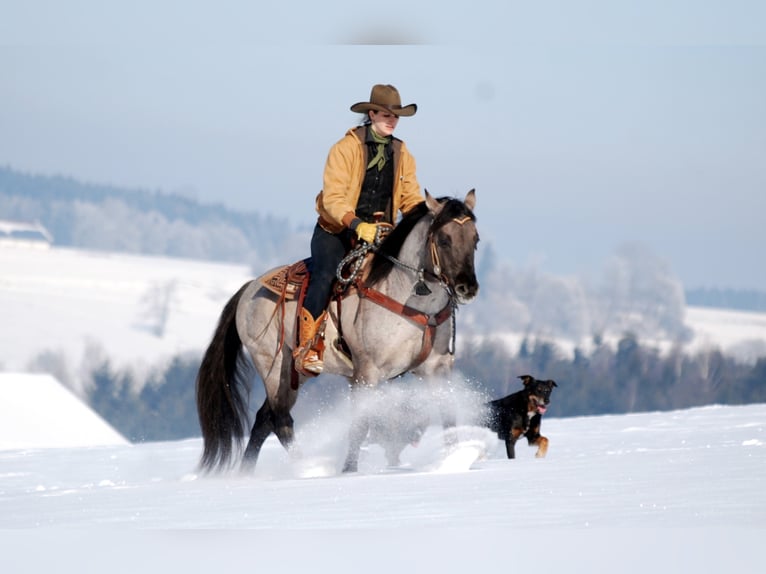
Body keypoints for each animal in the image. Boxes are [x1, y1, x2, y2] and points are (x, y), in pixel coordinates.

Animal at [196, 191, 480, 474]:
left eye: (475, 239)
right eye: (444, 239)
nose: (467, 287)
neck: (407, 297)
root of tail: (249, 288)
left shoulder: (436, 368)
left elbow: (447, 419)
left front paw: (453, 460)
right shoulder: (367, 373)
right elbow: (361, 426)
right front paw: (348, 471)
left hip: (294, 372)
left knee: (264, 420)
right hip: (272, 365)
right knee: (280, 419)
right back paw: (306, 468)